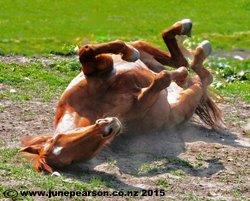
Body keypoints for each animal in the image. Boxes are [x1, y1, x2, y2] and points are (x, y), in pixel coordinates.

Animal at [21, 19, 221, 173]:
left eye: (59, 138)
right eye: (74, 160)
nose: (110, 126)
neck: (89, 108)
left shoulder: (99, 68)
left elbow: (87, 51)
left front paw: (129, 54)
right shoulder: (140, 104)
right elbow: (162, 80)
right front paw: (174, 76)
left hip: (146, 51)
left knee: (178, 58)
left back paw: (186, 31)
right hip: (186, 100)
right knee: (199, 75)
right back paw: (195, 58)